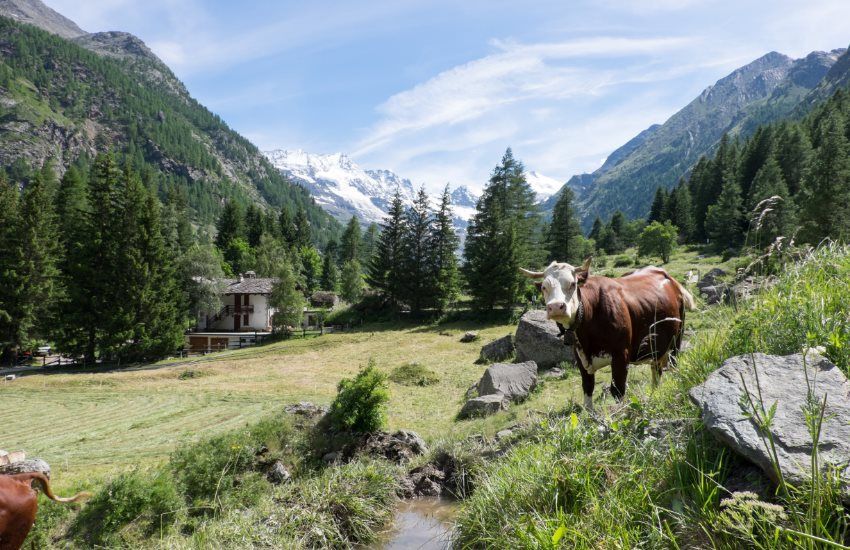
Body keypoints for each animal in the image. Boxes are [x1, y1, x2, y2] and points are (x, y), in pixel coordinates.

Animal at [520, 258, 692, 410]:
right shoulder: (581, 359)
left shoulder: (621, 355)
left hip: (677, 338)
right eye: (544, 287)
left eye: (572, 284)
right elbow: (588, 391)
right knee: (656, 371)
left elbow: (617, 391)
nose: (556, 307)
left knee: (672, 365)